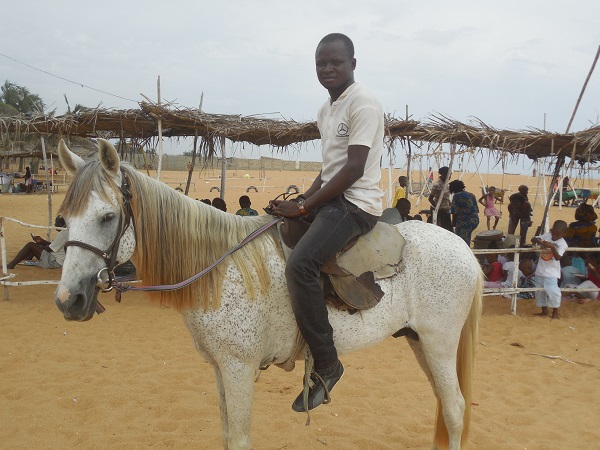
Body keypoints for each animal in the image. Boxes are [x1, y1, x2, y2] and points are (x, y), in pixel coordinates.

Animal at [55, 139, 482, 448]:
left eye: (108, 217)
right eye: (64, 217)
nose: (68, 300)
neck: (219, 268)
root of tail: (463, 249)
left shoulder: (239, 368)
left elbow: (240, 439)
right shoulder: (220, 368)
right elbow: (227, 435)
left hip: (439, 341)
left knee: (455, 408)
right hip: (419, 341)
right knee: (445, 403)